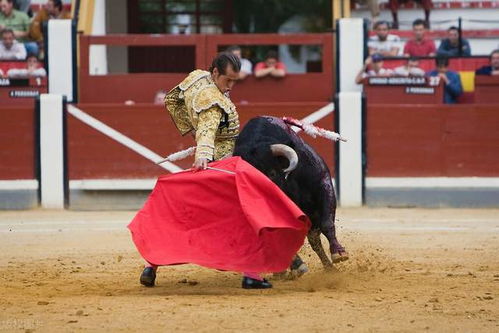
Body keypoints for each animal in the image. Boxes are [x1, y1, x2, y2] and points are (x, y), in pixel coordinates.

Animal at [233, 115, 348, 274]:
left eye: (272, 173)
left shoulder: (323, 183)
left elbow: (326, 223)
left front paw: (339, 253)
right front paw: (296, 265)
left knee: (314, 239)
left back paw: (329, 268)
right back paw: (288, 270)